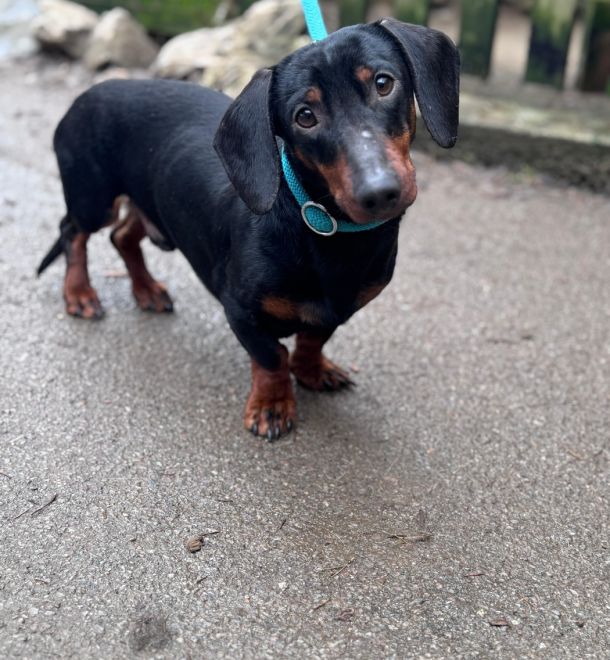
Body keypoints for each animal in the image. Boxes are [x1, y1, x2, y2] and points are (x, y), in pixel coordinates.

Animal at [38, 18, 460, 440]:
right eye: (304, 116)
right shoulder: (239, 310)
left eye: (383, 83)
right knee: (73, 232)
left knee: (122, 236)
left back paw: (147, 291)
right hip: (94, 200)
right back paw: (79, 294)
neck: (324, 229)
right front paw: (272, 405)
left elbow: (312, 339)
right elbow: (272, 357)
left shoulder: (338, 310)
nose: (379, 191)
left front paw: (312, 370)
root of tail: (87, 94)